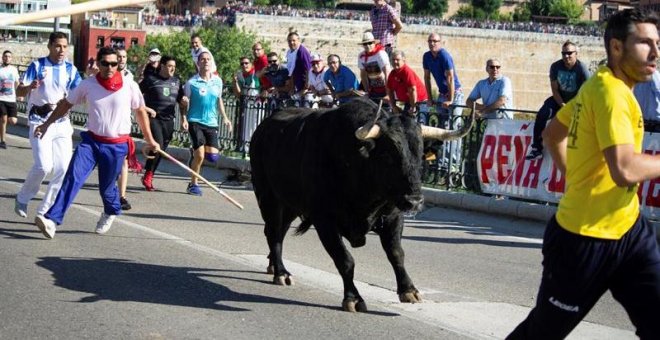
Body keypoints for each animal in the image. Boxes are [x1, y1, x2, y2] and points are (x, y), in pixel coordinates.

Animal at [249, 97, 474, 312]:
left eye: (419, 155)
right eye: (387, 155)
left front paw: (409, 290)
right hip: (268, 197)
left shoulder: (393, 216)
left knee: (279, 232)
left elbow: (396, 253)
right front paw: (353, 298)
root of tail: (263, 127)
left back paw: (273, 265)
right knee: (273, 232)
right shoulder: (324, 220)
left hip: (290, 204)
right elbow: (345, 259)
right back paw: (281, 272)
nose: (414, 201)